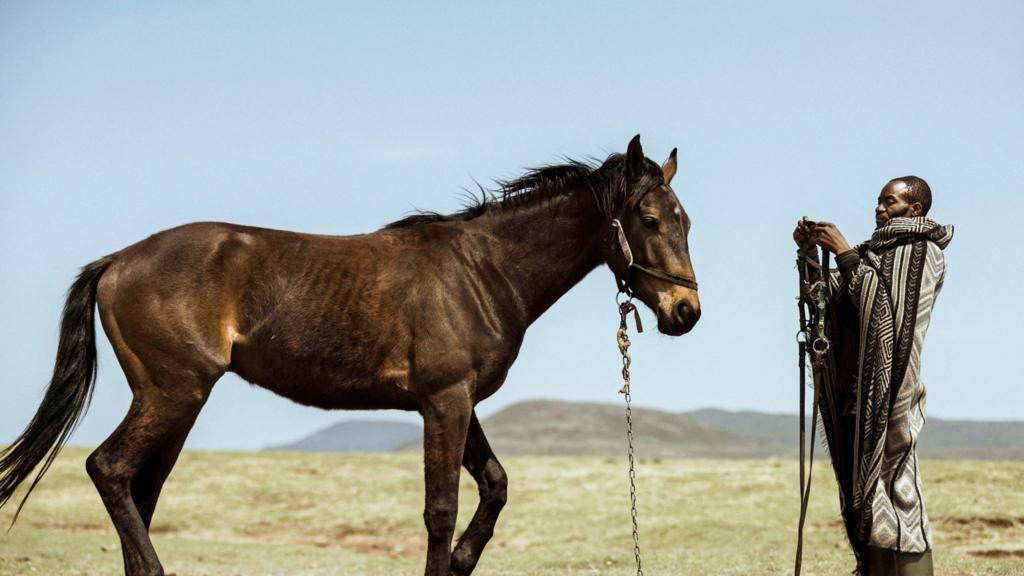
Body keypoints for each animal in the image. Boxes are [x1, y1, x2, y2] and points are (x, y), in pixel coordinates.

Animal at [0, 135, 696, 573]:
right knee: (109, 470)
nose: (686, 312)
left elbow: (494, 488)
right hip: (173, 393)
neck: (483, 270)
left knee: (138, 491)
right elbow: (441, 509)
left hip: (174, 402)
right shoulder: (445, 402)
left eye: (685, 221)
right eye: (650, 221)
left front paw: (464, 561)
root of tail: (117, 261)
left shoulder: (458, 402)